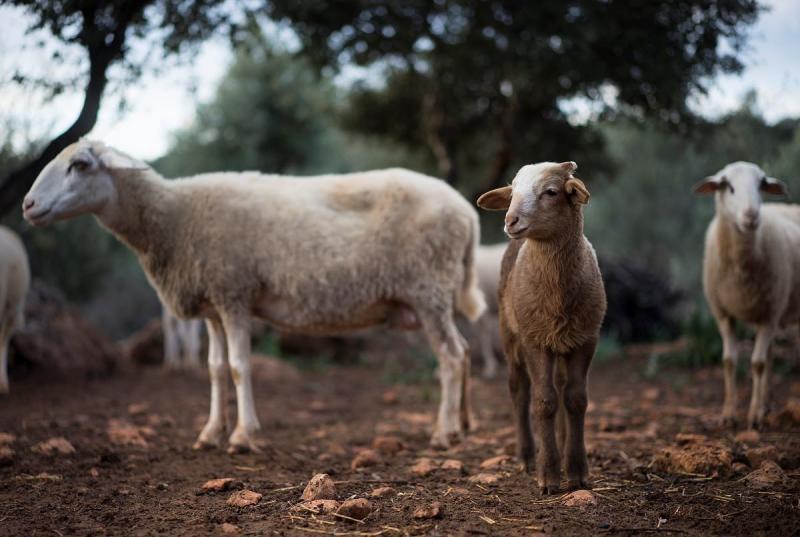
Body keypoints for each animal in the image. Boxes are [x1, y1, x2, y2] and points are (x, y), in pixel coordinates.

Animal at [23, 140, 488, 450]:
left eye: (80, 164)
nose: (27, 205)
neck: (173, 217)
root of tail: (465, 210)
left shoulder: (234, 295)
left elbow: (239, 366)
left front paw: (243, 435)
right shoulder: (213, 304)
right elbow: (214, 369)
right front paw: (210, 432)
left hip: (428, 288)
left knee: (450, 358)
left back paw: (443, 433)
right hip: (436, 294)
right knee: (464, 352)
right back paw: (464, 424)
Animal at [692, 161, 800, 430]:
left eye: (761, 185)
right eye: (727, 185)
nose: (751, 216)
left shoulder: (770, 314)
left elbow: (757, 364)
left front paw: (753, 416)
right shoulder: (723, 314)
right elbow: (729, 360)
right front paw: (728, 414)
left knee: (765, 358)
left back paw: (762, 407)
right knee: (770, 355)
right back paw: (767, 403)